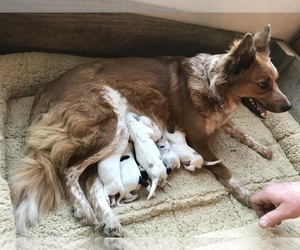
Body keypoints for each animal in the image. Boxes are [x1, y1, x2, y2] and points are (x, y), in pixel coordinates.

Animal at [8, 24, 290, 236]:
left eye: (277, 81)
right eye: (263, 85)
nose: (288, 106)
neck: (211, 84)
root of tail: (47, 89)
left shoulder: (219, 122)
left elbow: (242, 132)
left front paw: (264, 149)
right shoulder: (199, 140)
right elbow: (226, 171)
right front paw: (246, 195)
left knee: (90, 183)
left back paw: (109, 222)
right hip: (113, 126)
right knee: (68, 171)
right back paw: (84, 210)